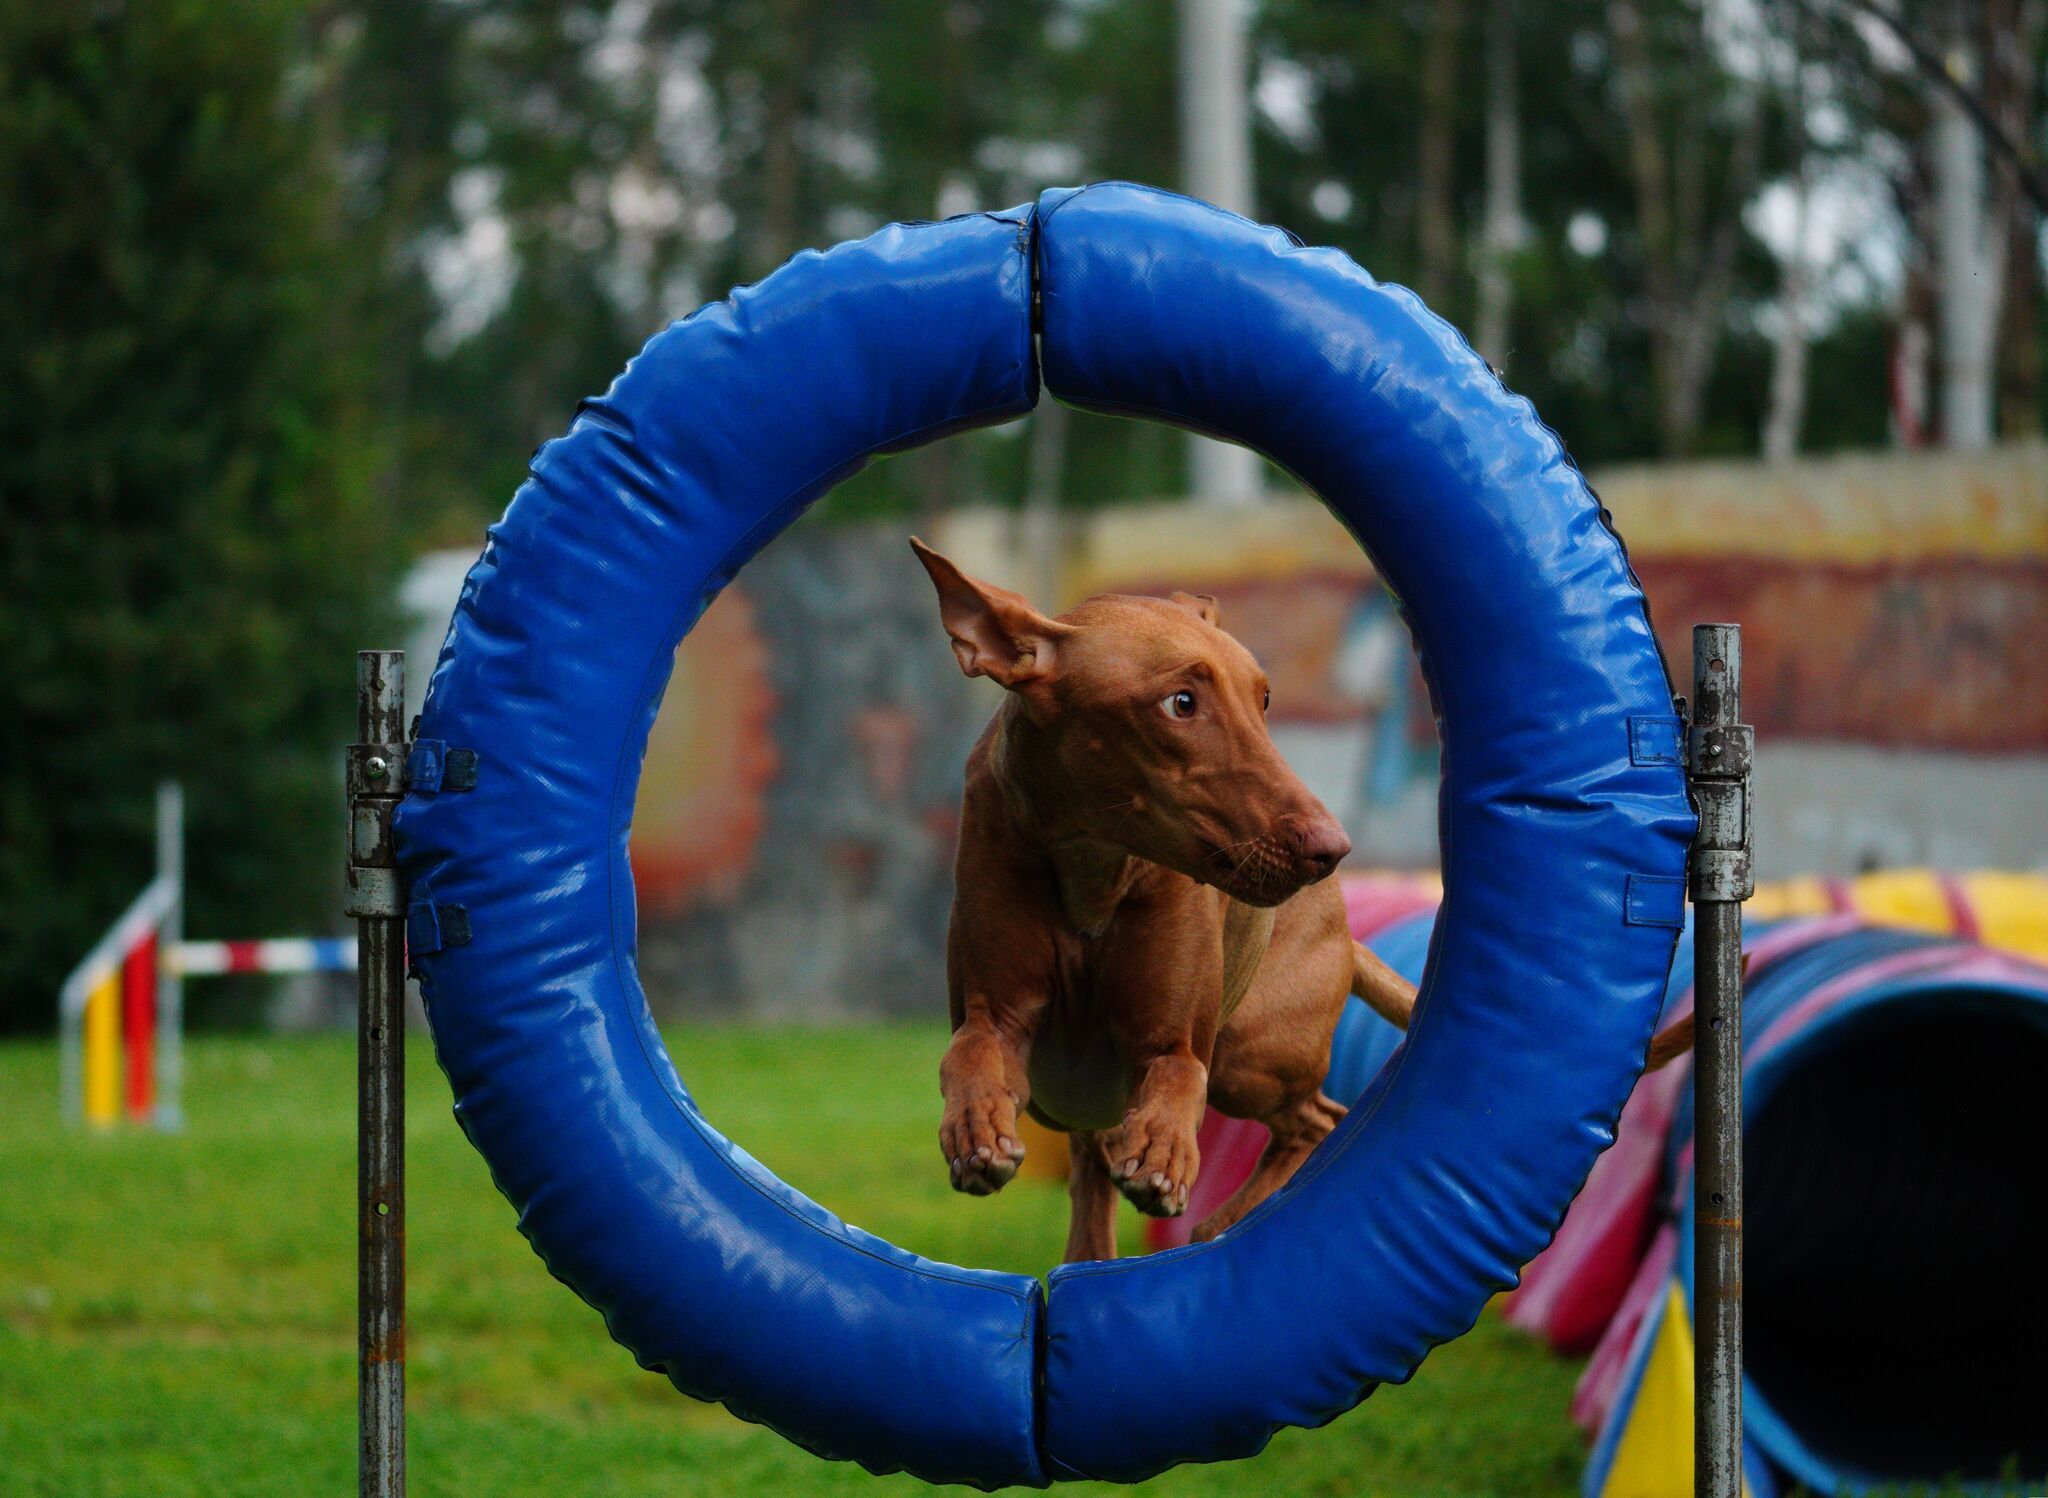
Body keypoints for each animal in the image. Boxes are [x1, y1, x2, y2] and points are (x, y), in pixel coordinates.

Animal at [917, 541, 1695, 1262]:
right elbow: (969, 1055)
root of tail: (1346, 932)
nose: (1332, 849)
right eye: (1180, 703)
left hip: (1249, 1056)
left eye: (1262, 698)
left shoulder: (1175, 1045)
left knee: (1316, 1121)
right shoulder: (1000, 1017)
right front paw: (976, 1129)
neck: (1093, 871)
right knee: (1098, 1165)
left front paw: (1164, 1155)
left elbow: (1178, 1082)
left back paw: (1220, 1225)